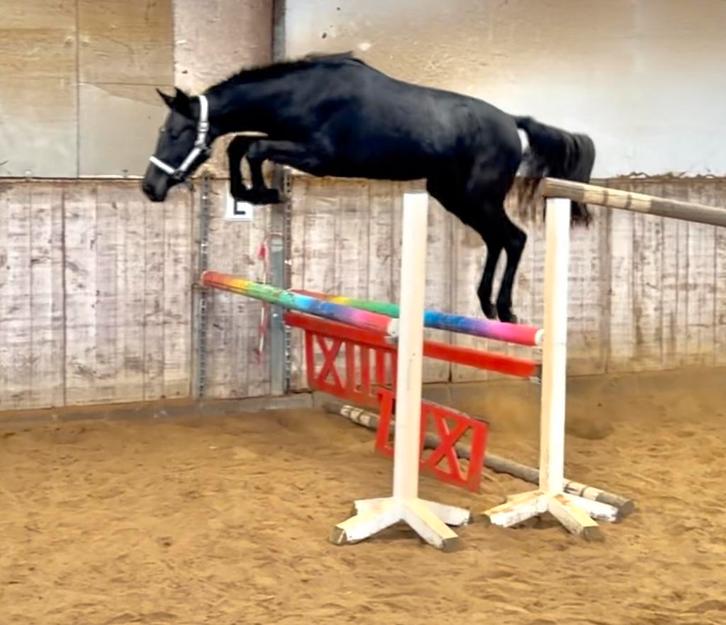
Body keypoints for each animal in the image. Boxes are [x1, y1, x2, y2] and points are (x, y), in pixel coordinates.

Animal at [142, 52, 595, 323]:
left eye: (178, 133)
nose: (150, 187)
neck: (304, 93)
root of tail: (512, 122)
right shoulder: (288, 143)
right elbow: (240, 144)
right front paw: (252, 192)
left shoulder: (317, 156)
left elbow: (252, 147)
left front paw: (262, 193)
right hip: (454, 196)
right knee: (498, 240)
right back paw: (485, 304)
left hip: (477, 198)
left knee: (514, 239)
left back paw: (505, 309)